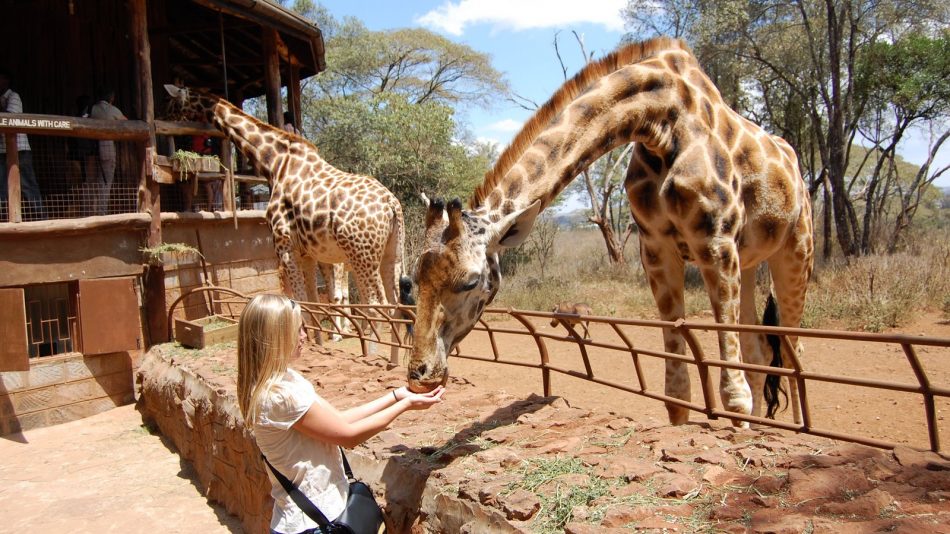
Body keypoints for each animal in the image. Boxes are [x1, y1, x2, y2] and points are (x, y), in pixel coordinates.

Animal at [406, 37, 816, 430]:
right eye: (414, 280)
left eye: (470, 281)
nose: (419, 374)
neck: (661, 122)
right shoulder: (656, 250)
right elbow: (676, 390)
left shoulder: (715, 242)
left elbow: (733, 390)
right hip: (748, 261)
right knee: (759, 348)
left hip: (795, 251)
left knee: (792, 350)